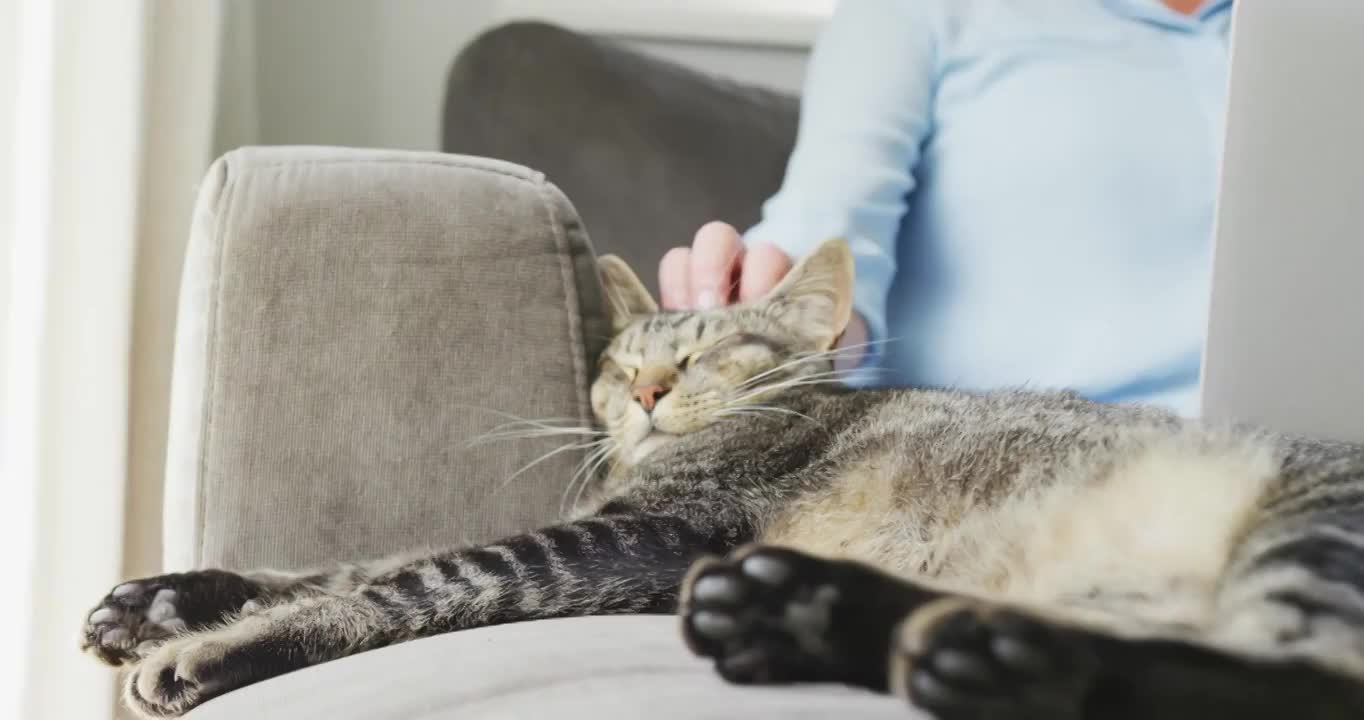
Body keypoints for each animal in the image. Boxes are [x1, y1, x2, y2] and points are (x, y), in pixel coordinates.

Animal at [85, 238, 1364, 714]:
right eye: (619, 364)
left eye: (703, 354)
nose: (646, 393)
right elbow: (353, 557)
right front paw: (173, 596)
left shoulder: (655, 533)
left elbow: (410, 579)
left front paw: (217, 645)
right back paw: (812, 614)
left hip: (1309, 530)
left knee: (1297, 675)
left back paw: (1003, 659)